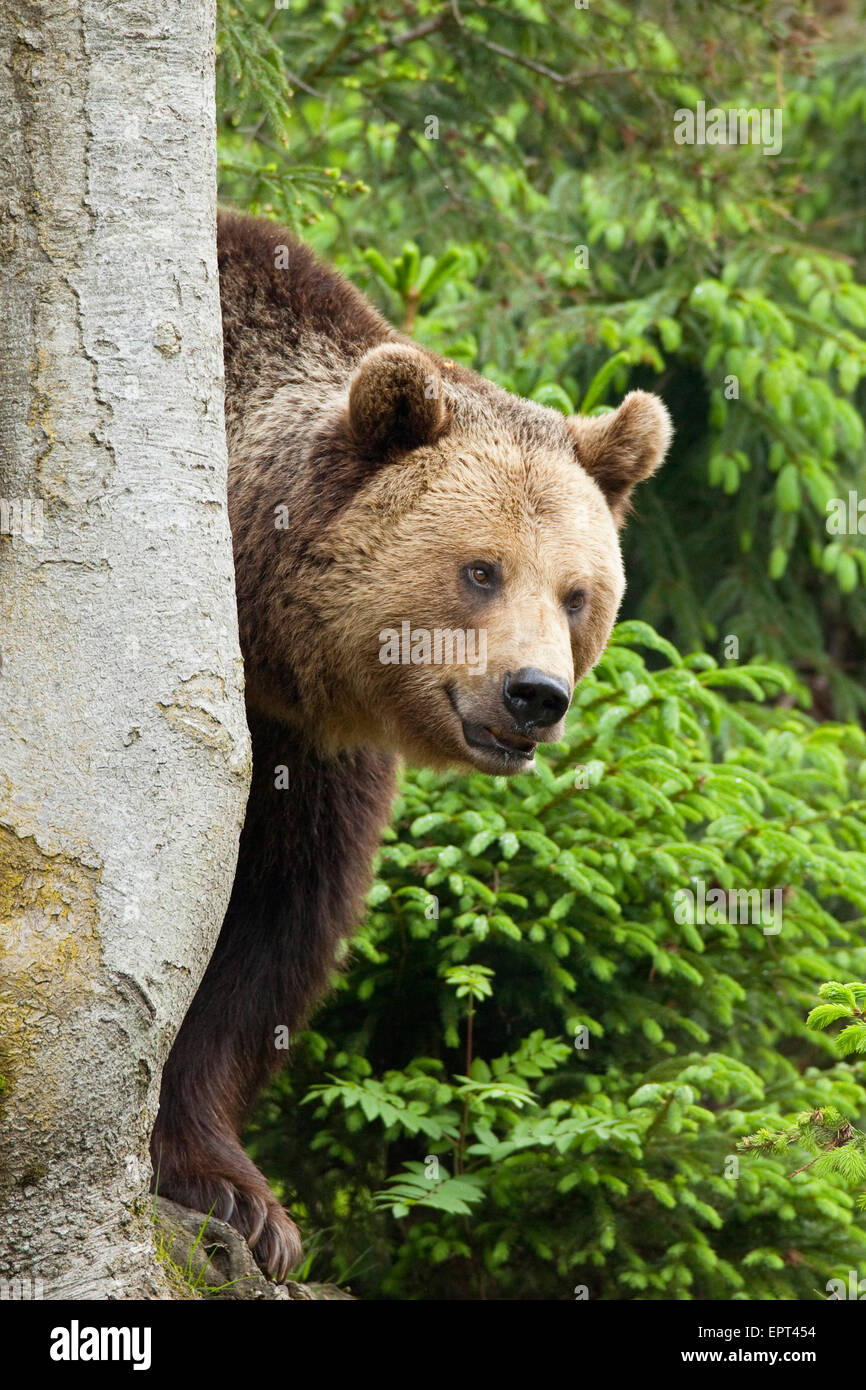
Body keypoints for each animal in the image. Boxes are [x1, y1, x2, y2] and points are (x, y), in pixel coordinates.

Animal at [150, 210, 672, 1281]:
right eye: (480, 570)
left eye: (576, 593)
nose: (536, 696)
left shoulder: (311, 745)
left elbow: (272, 929)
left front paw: (241, 1195)